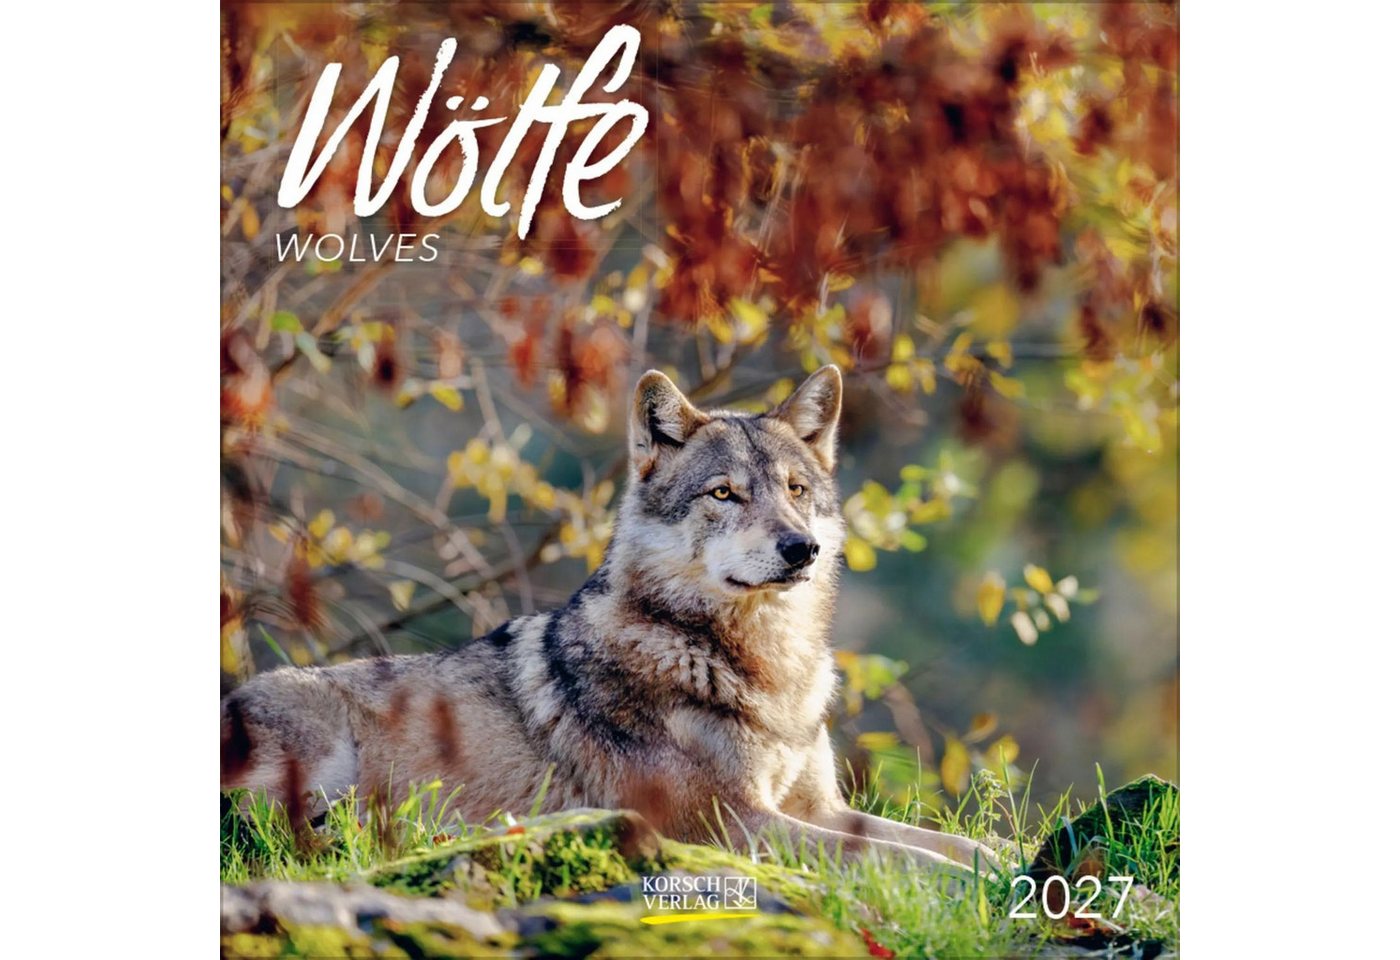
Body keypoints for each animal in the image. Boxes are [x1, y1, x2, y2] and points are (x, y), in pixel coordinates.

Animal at [221, 365, 1000, 875]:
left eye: (796, 490)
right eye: (724, 493)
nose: (799, 547)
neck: (762, 667)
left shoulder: (817, 808)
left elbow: (955, 845)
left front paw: (1011, 862)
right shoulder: (729, 823)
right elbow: (915, 862)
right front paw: (984, 886)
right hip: (321, 767)